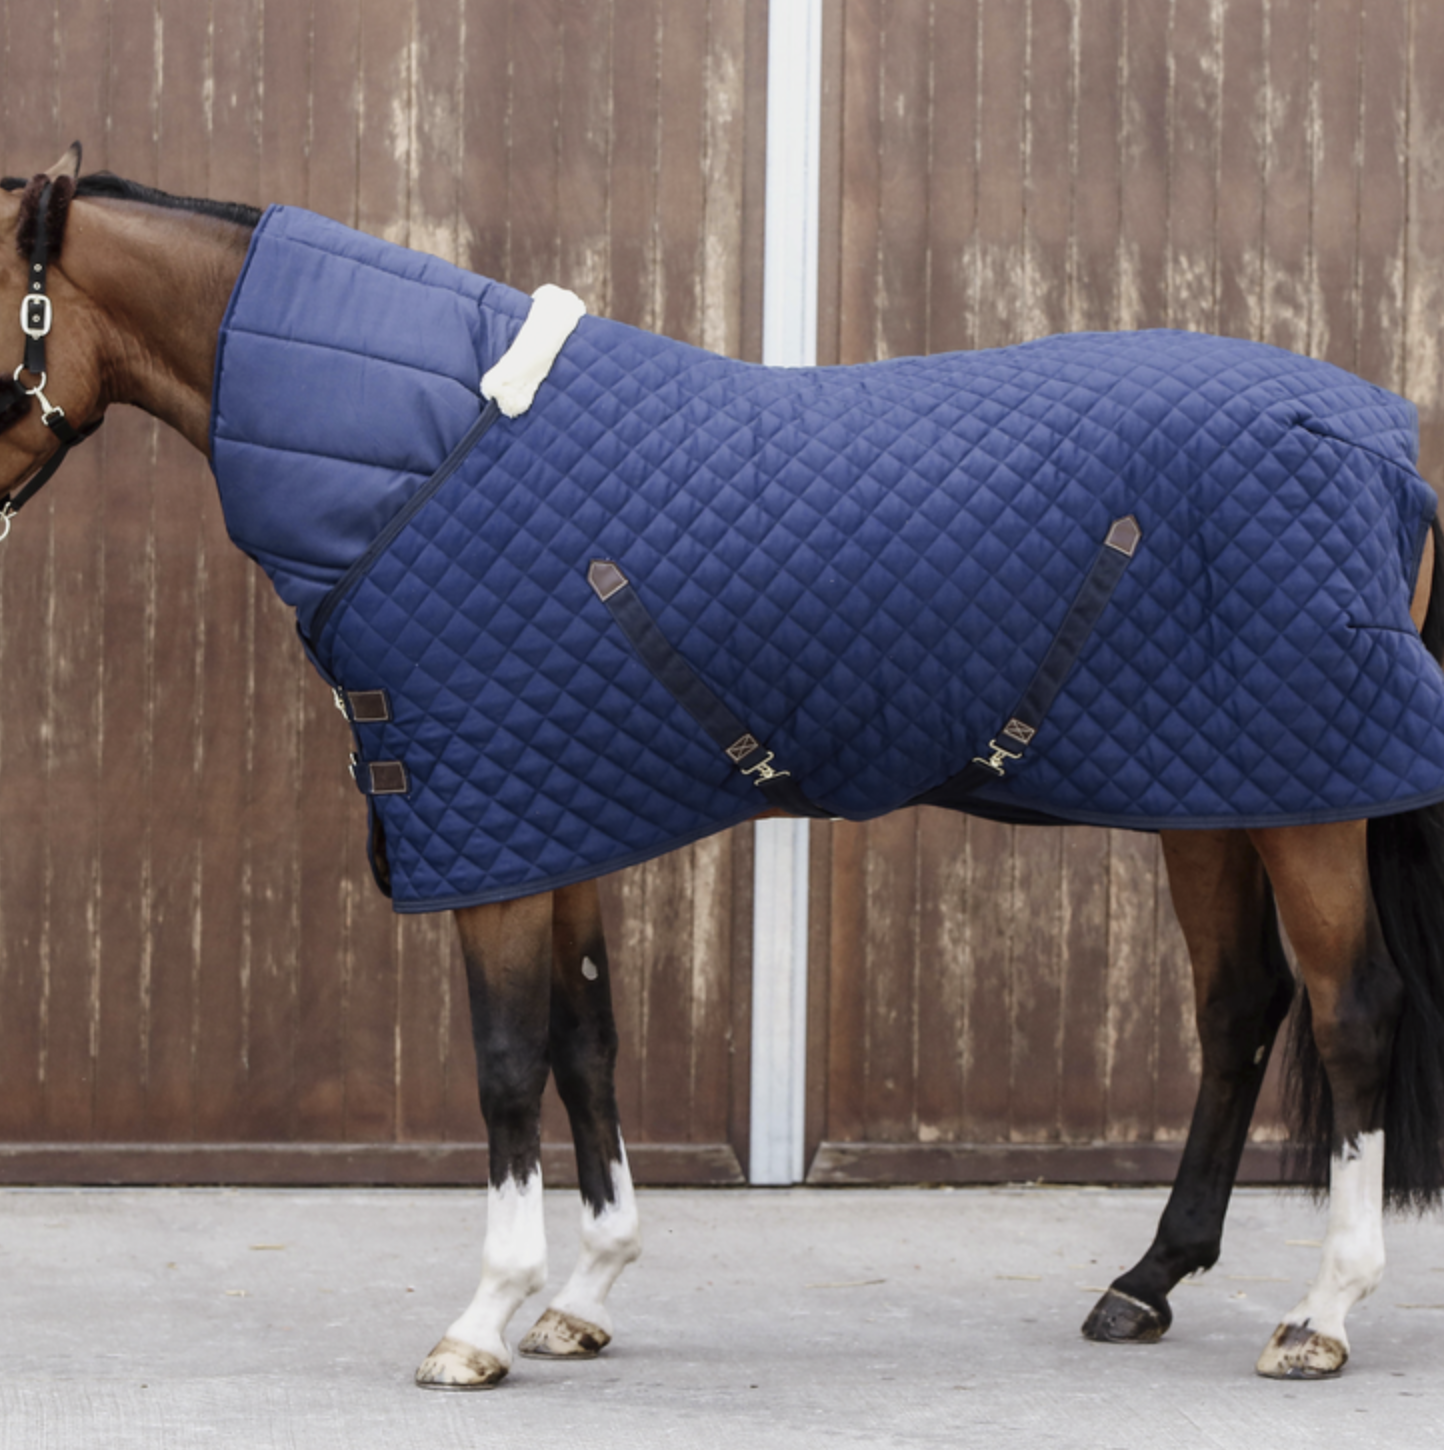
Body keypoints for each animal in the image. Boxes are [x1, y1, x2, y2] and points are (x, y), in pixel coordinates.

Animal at [3, 143, 1444, 1392]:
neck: (422, 446)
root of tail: (1380, 434)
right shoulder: (552, 818)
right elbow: (588, 1044)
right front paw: (584, 1294)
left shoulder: (494, 837)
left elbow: (507, 1062)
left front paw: (481, 1320)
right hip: (1219, 793)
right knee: (1240, 1007)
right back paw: (1146, 1282)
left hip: (1308, 804)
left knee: (1352, 1009)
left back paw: (1320, 1313)